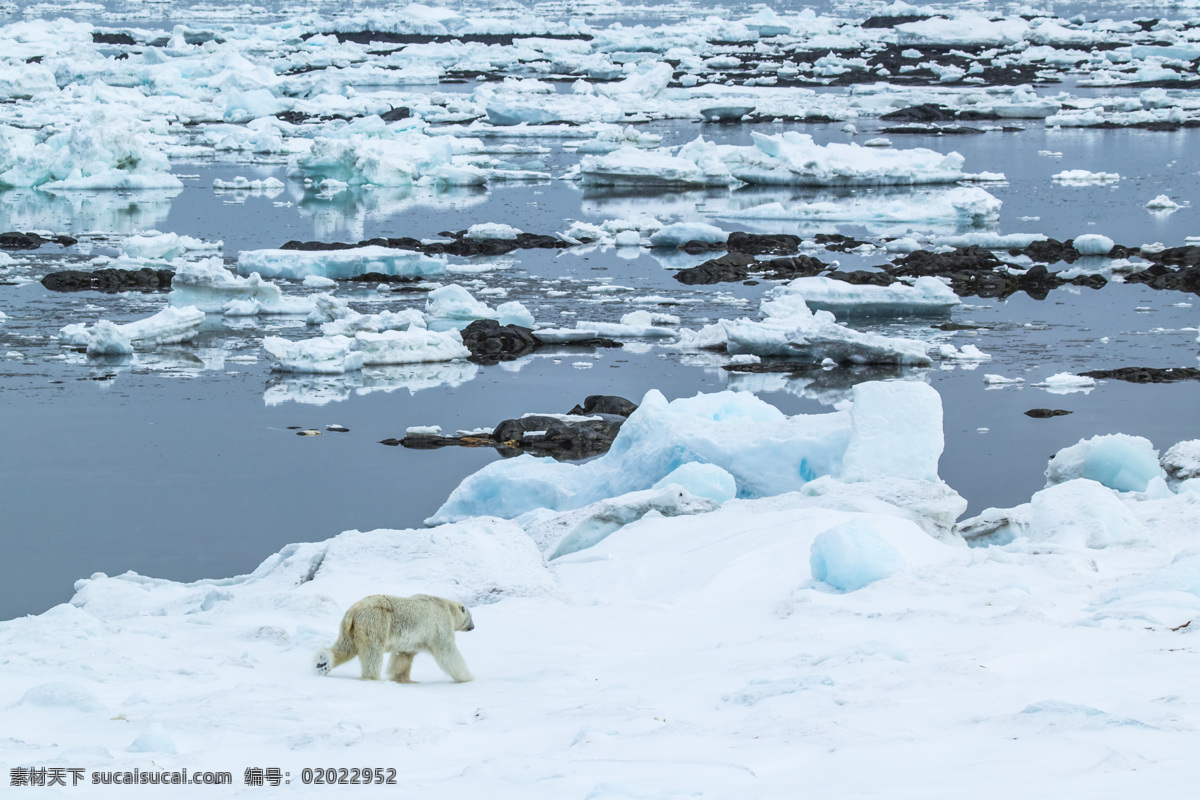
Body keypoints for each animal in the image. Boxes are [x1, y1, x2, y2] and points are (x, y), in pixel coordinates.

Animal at [314, 594, 472, 681]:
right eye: (471, 617)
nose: (473, 627)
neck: (445, 605)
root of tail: (353, 612)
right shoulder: (440, 623)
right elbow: (448, 652)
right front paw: (467, 677)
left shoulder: (411, 641)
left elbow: (403, 657)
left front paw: (403, 679)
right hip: (375, 623)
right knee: (373, 653)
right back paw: (372, 678)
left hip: (349, 630)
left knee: (345, 648)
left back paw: (322, 663)